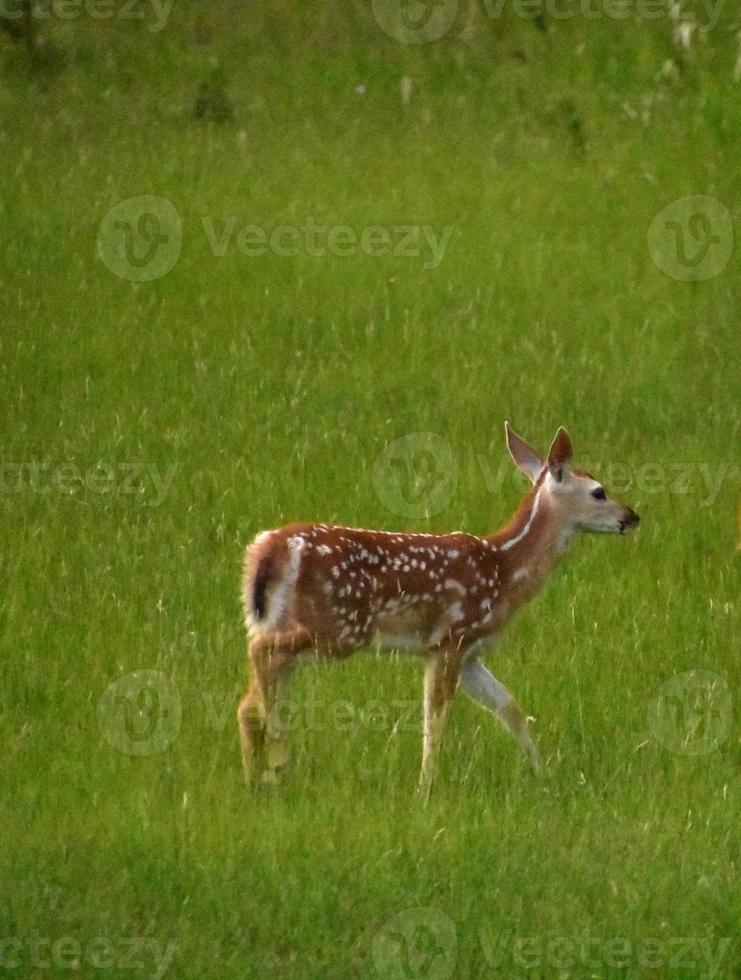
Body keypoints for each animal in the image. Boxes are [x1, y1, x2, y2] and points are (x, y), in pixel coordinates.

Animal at [236, 424, 636, 796]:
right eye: (599, 491)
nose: (633, 516)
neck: (504, 569)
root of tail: (269, 549)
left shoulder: (470, 652)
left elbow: (511, 708)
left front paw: (544, 774)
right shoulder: (450, 639)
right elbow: (436, 720)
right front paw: (425, 788)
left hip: (279, 621)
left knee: (259, 691)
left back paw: (264, 775)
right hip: (340, 626)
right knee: (260, 658)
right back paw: (274, 766)